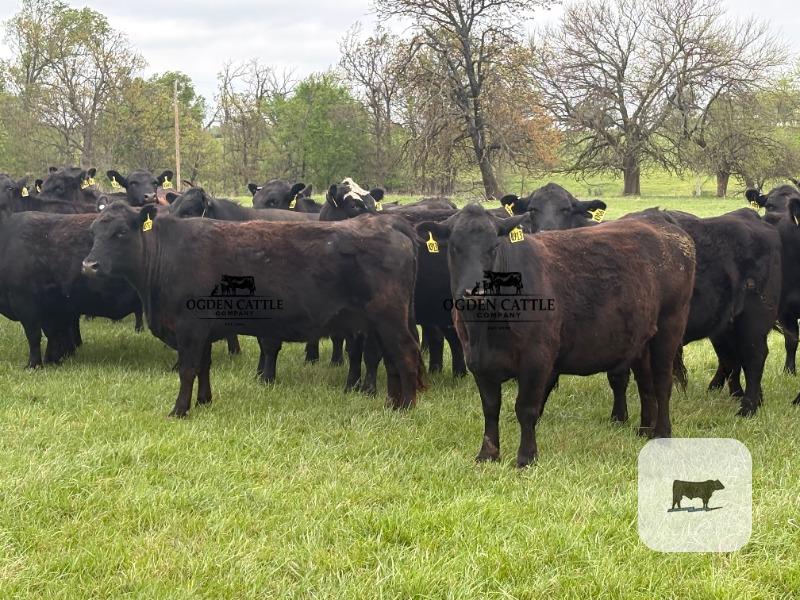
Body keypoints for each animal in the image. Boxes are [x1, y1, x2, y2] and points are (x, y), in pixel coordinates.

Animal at [82, 201, 423, 417]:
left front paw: (179, 410)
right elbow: (203, 367)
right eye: (94, 232)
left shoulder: (190, 327)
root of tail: (388, 221)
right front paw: (204, 401)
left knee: (406, 355)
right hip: (380, 324)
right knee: (391, 360)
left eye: (121, 232)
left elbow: (187, 369)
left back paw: (406, 407)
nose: (89, 265)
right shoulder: (204, 330)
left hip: (390, 320)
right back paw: (393, 404)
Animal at [416, 204, 695, 466]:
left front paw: (526, 457)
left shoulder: (536, 358)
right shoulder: (478, 361)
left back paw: (662, 434)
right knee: (646, 383)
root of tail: (658, 220)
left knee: (662, 382)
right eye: (454, 247)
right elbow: (490, 408)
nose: (474, 293)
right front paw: (488, 454)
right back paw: (645, 431)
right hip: (641, 338)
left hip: (670, 326)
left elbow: (526, 408)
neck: (485, 331)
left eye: (494, 246)